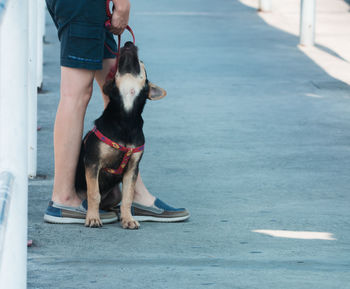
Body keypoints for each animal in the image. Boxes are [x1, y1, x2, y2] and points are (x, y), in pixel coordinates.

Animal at [74, 41, 167, 228]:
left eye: (141, 62)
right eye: (117, 66)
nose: (128, 43)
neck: (126, 118)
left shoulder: (132, 168)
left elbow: (128, 198)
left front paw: (128, 219)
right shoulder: (92, 163)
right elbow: (94, 194)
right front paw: (93, 218)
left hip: (114, 194)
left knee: (113, 202)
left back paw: (115, 212)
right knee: (93, 198)